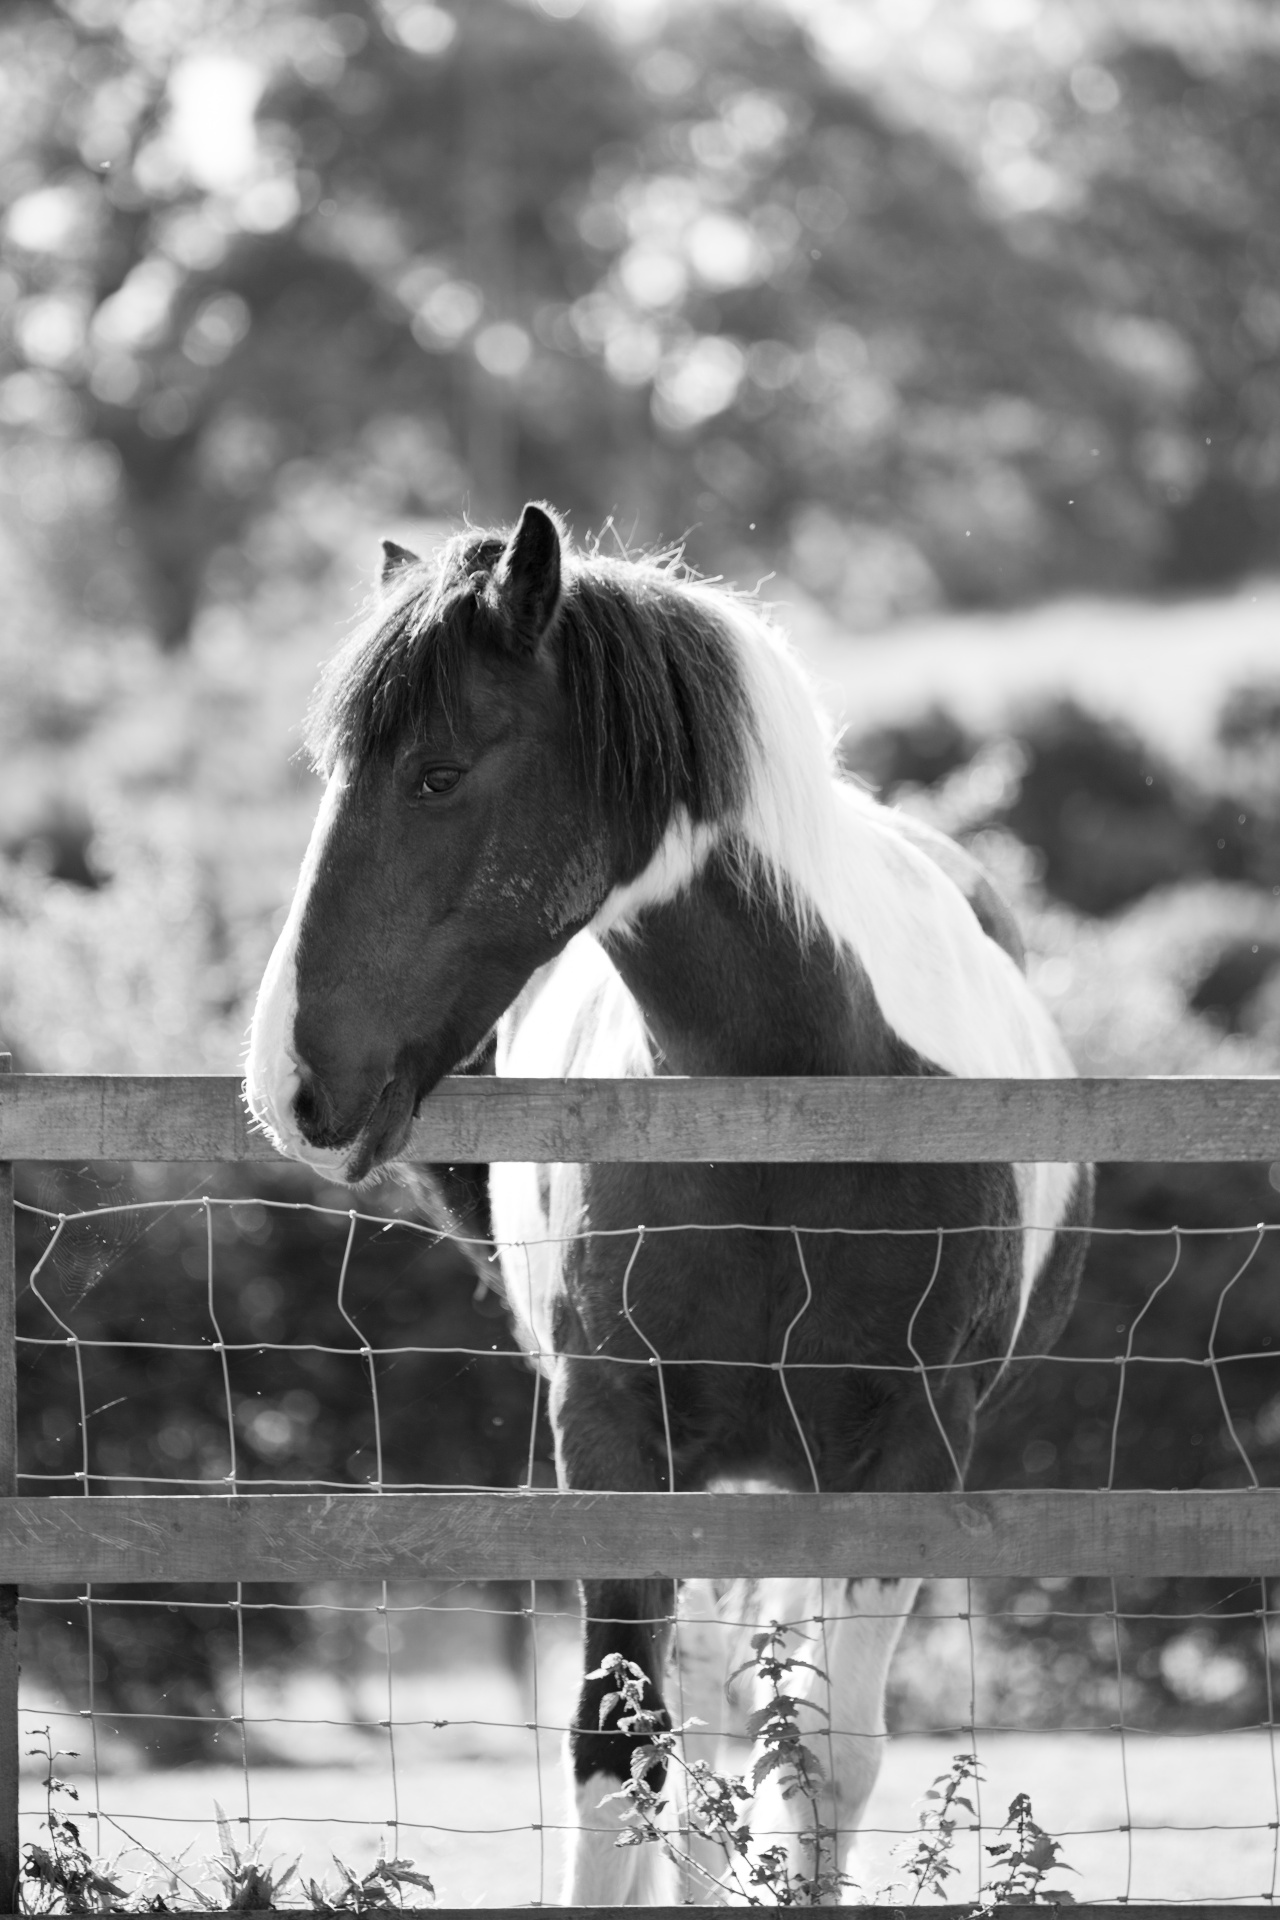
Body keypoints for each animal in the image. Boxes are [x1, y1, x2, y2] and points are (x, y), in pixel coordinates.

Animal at [242, 506, 1090, 1904]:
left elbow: (820, 1766)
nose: (289, 1085)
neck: (790, 1102)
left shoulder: (906, 1450)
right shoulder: (613, 1436)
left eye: (435, 775)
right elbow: (617, 1760)